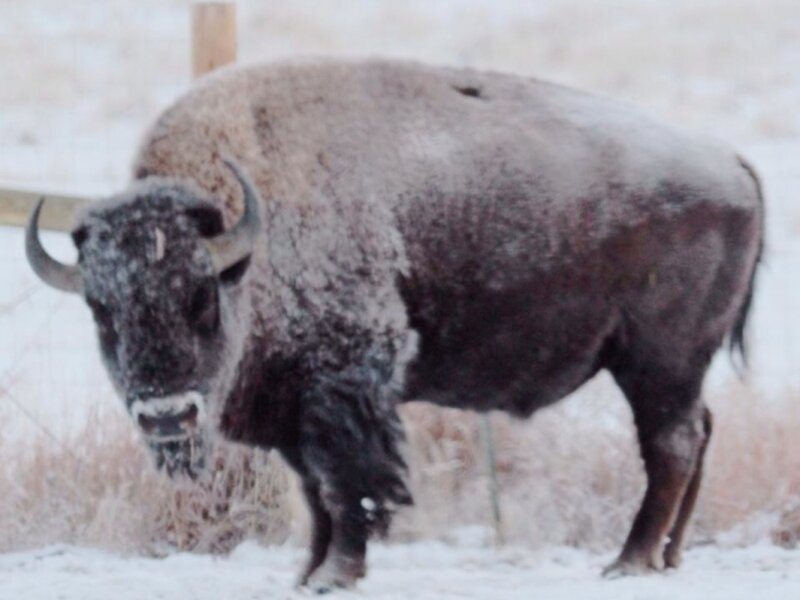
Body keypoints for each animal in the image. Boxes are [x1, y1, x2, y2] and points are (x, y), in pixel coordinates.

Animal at [26, 59, 762, 591]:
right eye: (100, 308)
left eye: (202, 296)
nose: (166, 417)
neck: (253, 235)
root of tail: (732, 162)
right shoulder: (293, 409)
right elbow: (315, 492)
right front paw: (307, 574)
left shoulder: (345, 387)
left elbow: (349, 484)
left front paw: (335, 575)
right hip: (672, 370)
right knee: (699, 435)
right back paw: (666, 557)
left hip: (658, 363)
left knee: (671, 446)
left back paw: (628, 562)